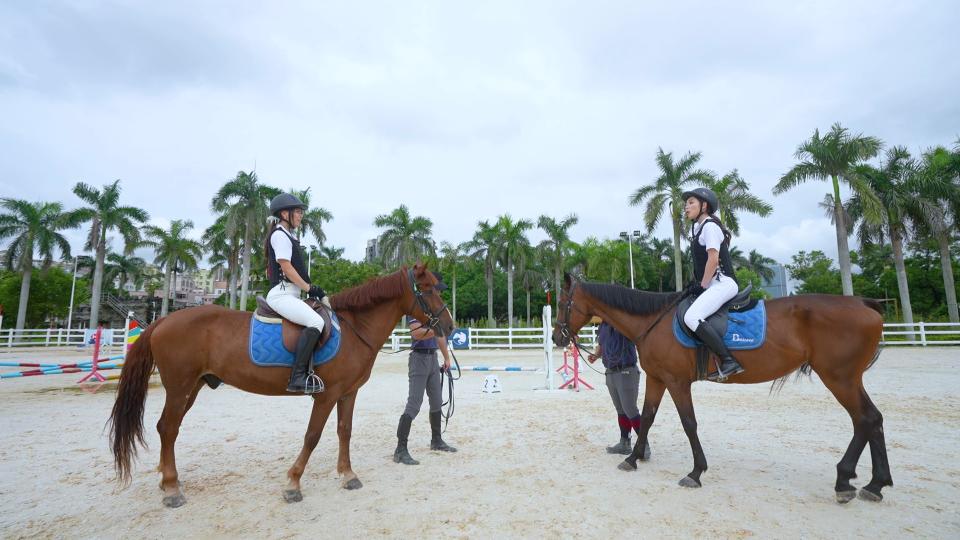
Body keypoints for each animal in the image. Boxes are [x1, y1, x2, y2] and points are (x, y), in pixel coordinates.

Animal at [109, 264, 454, 508]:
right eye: (426, 289)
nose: (449, 326)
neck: (355, 328)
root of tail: (163, 320)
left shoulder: (348, 392)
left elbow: (344, 431)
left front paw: (348, 475)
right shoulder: (327, 395)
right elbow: (312, 436)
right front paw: (293, 484)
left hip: (191, 388)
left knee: (167, 428)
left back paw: (167, 482)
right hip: (180, 387)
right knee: (168, 428)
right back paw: (171, 489)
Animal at [552, 276, 896, 504]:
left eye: (562, 303)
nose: (557, 337)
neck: (653, 321)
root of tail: (861, 303)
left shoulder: (677, 382)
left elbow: (689, 423)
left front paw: (696, 472)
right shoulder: (657, 379)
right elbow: (647, 417)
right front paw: (634, 458)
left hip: (839, 378)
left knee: (864, 420)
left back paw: (844, 480)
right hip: (848, 379)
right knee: (874, 419)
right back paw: (875, 484)